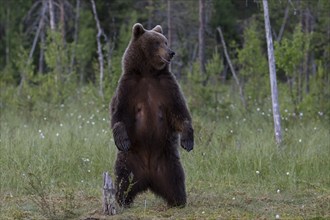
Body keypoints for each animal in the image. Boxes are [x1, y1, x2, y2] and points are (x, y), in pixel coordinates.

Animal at [110, 23, 193, 207]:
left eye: (165, 41)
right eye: (157, 43)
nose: (171, 52)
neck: (148, 73)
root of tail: (148, 179)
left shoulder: (167, 87)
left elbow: (179, 113)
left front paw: (187, 140)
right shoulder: (128, 87)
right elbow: (119, 115)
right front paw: (122, 139)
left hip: (168, 161)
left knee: (176, 179)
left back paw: (178, 200)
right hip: (129, 160)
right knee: (122, 178)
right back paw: (121, 200)